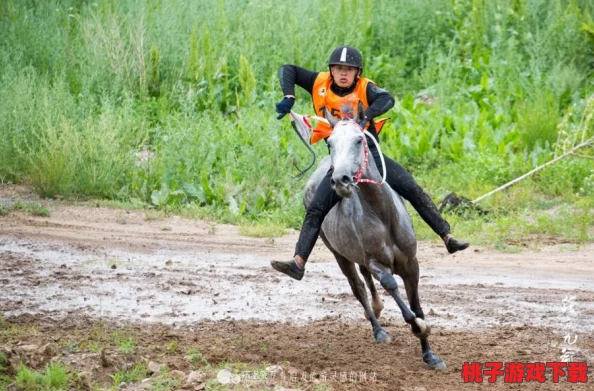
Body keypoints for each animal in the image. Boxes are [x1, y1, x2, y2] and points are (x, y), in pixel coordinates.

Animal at [306, 108, 444, 370]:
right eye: (330, 143)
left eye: (359, 140)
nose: (340, 180)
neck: (382, 214)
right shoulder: (376, 262)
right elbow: (392, 288)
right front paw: (419, 328)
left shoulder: (411, 264)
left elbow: (417, 306)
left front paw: (431, 356)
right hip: (338, 254)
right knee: (358, 288)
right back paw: (379, 330)